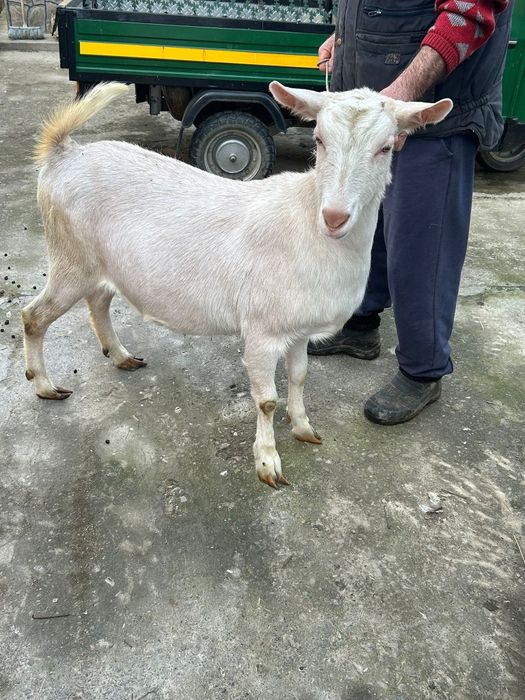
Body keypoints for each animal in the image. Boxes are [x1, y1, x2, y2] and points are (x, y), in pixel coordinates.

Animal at [23, 82, 452, 488]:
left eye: (386, 147)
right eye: (319, 140)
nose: (334, 217)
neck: (307, 225)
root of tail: (63, 153)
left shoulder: (298, 330)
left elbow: (299, 376)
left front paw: (304, 428)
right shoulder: (262, 330)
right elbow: (266, 400)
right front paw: (268, 463)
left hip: (98, 263)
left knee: (98, 301)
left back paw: (120, 355)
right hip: (69, 258)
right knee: (33, 316)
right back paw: (44, 385)